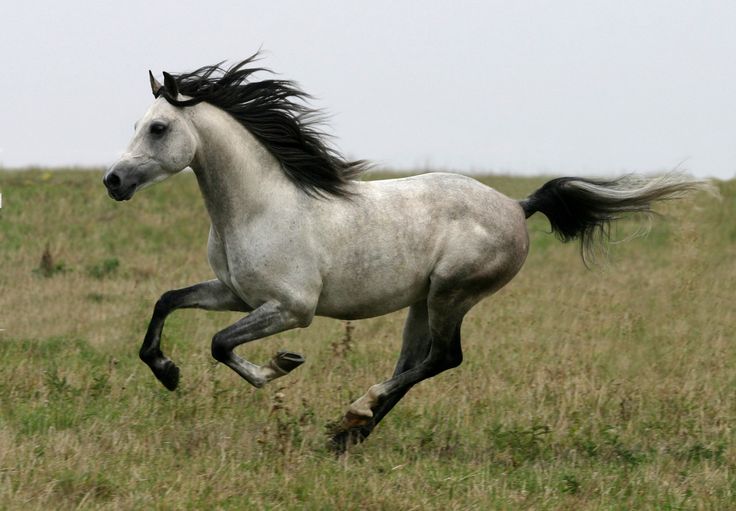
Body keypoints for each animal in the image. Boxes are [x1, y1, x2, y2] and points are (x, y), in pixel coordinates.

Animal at [102, 54, 708, 450]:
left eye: (158, 128)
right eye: (136, 124)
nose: (112, 180)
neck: (259, 206)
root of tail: (518, 206)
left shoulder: (290, 308)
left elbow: (221, 344)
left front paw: (280, 366)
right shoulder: (234, 293)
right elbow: (167, 301)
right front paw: (166, 372)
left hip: (452, 294)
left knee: (442, 359)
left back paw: (354, 413)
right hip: (423, 300)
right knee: (415, 362)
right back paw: (348, 433)